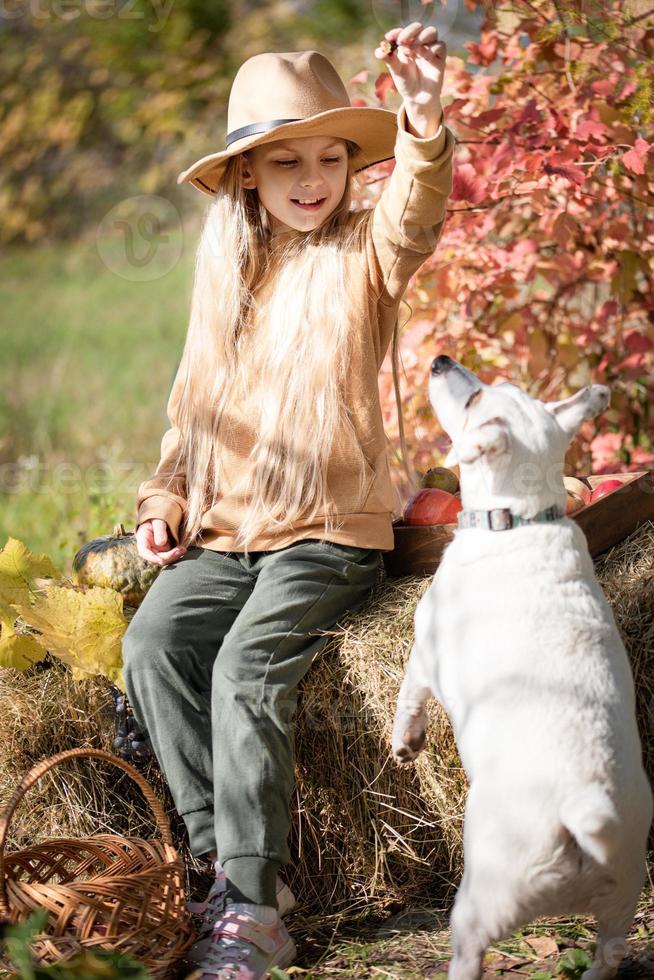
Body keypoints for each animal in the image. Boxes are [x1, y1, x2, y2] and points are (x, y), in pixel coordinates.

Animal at [392, 356, 652, 980]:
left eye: (474, 400)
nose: (440, 361)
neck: (522, 517)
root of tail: (584, 811)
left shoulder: (425, 649)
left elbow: (409, 694)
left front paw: (405, 743)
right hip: (622, 898)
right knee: (609, 952)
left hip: (479, 904)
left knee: (469, 954)